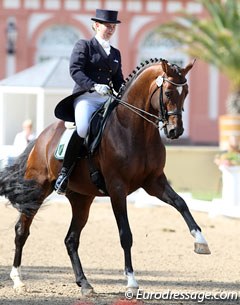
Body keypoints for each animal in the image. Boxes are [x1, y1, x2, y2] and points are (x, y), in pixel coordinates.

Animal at [0, 57, 210, 294]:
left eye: (186, 93)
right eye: (167, 92)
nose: (176, 131)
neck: (136, 129)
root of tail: (40, 138)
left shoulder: (154, 182)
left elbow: (181, 203)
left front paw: (201, 241)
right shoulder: (117, 188)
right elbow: (125, 234)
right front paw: (131, 281)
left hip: (82, 199)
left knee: (71, 239)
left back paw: (84, 283)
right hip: (37, 190)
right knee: (22, 230)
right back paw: (18, 279)